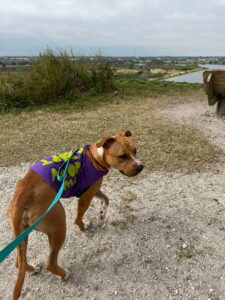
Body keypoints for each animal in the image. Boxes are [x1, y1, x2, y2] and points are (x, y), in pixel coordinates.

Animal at [7, 130, 144, 298]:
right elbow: (79, 216)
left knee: (18, 262)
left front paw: (102, 215)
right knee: (49, 262)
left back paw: (32, 269)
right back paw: (64, 274)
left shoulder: (94, 190)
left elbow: (106, 199)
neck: (95, 156)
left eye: (135, 151)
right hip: (59, 225)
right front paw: (83, 227)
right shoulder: (85, 198)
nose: (141, 166)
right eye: (123, 156)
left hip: (21, 235)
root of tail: (22, 195)